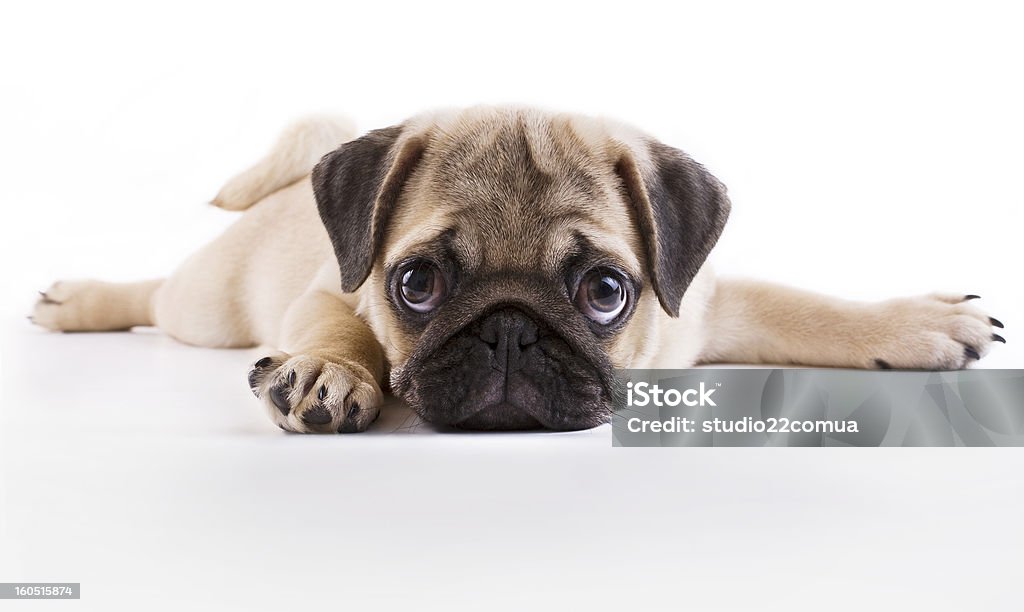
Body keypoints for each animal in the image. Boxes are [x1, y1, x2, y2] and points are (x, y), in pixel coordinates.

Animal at [29, 107, 999, 433]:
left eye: (604, 293)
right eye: (415, 285)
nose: (508, 330)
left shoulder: (707, 306)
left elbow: (810, 307)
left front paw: (919, 322)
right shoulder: (329, 293)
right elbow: (338, 328)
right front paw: (333, 374)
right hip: (207, 306)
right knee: (158, 294)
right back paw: (78, 299)